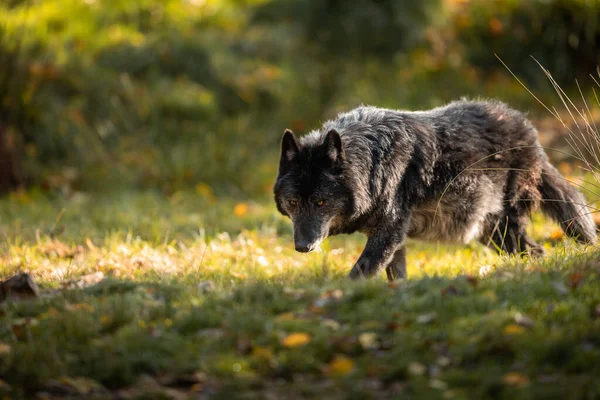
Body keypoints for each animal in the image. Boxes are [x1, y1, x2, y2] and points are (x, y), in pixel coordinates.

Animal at [274, 100, 596, 282]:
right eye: (293, 202)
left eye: (320, 202)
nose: (302, 247)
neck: (372, 162)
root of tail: (530, 132)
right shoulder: (394, 239)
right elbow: (396, 277)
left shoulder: (388, 233)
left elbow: (359, 273)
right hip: (491, 234)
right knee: (535, 252)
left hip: (503, 229)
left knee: (538, 250)